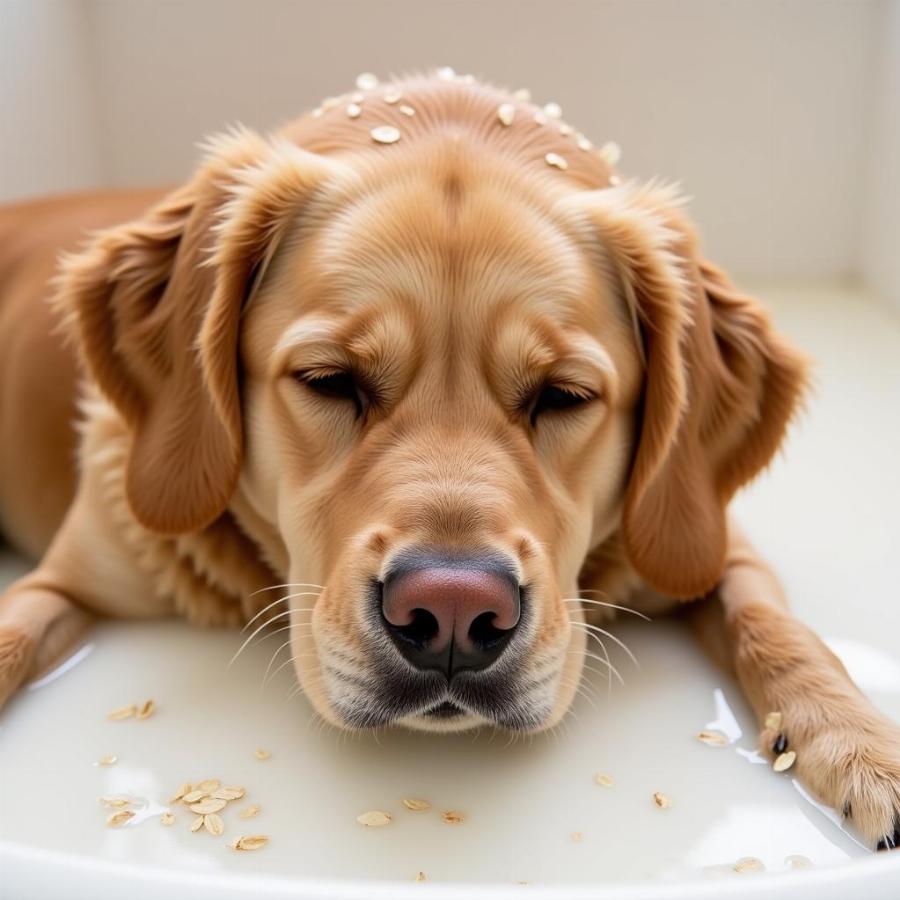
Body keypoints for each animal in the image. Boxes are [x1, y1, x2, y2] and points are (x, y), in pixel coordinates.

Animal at [0, 72, 896, 852]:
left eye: (565, 395)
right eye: (329, 380)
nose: (456, 614)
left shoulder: (704, 536)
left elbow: (773, 626)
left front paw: (858, 745)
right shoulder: (66, 574)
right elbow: (13, 632)